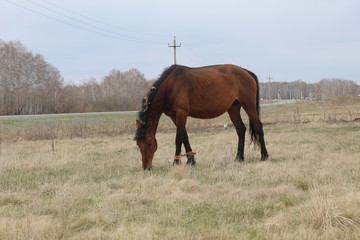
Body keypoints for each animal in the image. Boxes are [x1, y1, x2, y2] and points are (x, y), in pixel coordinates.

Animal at [135, 63, 268, 169]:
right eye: (138, 145)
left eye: (149, 143)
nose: (146, 167)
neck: (171, 86)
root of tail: (247, 72)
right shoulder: (174, 116)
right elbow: (185, 137)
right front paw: (191, 161)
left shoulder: (181, 114)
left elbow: (178, 139)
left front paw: (176, 162)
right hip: (233, 108)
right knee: (241, 130)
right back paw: (239, 158)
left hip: (249, 106)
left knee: (258, 127)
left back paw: (264, 156)